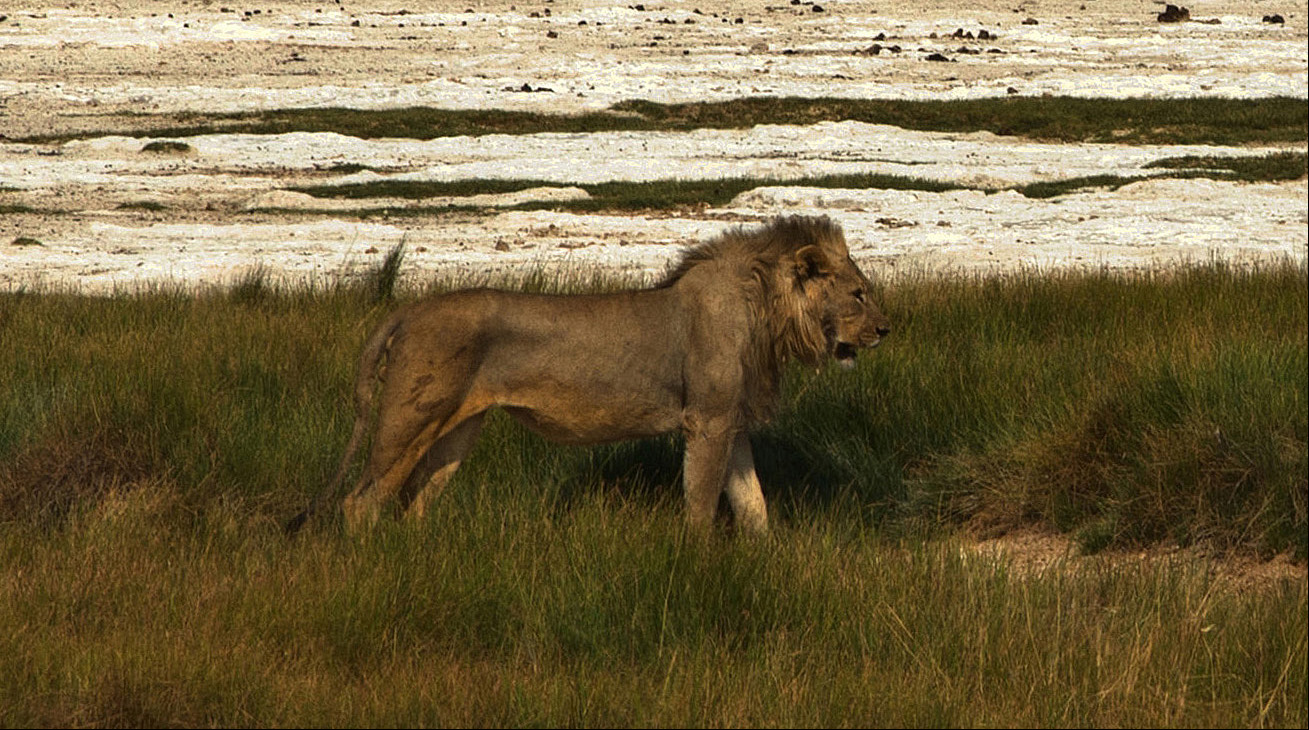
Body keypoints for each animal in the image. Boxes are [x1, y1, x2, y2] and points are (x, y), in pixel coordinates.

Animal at [289, 214, 890, 536]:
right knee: (361, 503)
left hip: (457, 430)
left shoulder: (733, 422)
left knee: (413, 504)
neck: (768, 315)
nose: (886, 330)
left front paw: (766, 560)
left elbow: (754, 505)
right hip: (409, 419)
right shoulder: (708, 421)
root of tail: (408, 310)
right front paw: (697, 564)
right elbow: (701, 503)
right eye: (860, 293)